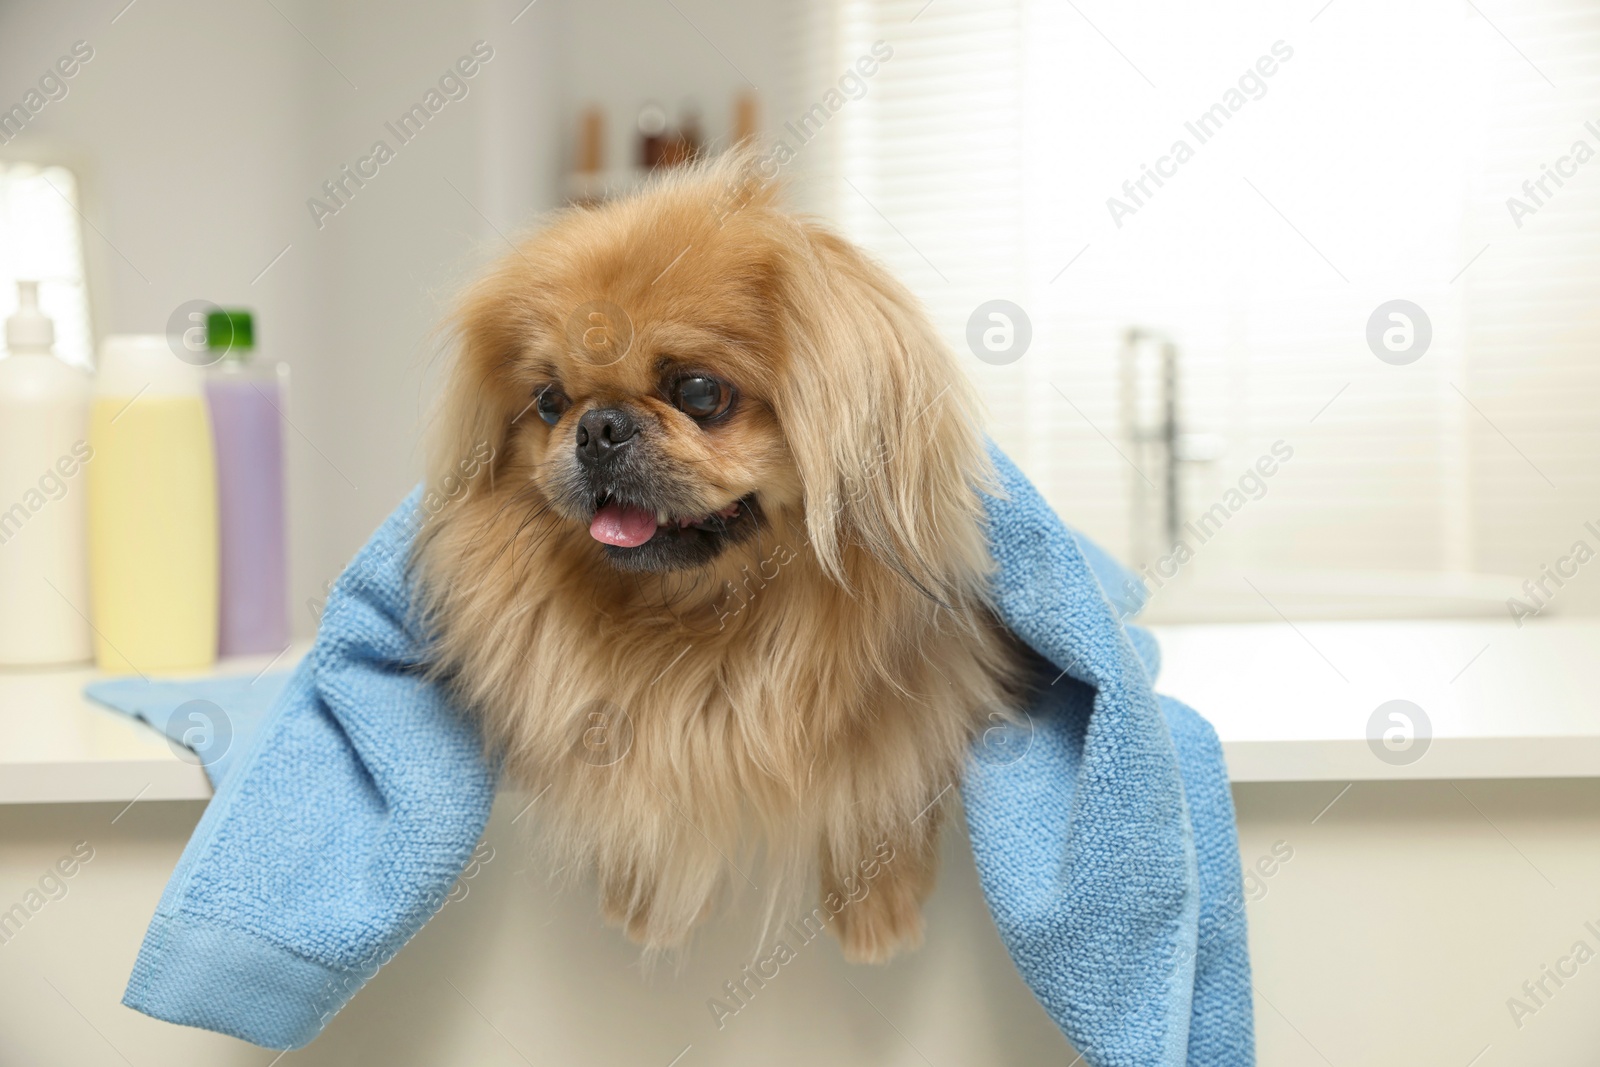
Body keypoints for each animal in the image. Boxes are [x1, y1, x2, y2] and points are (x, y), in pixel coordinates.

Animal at [406, 154, 1017, 966]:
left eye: (698, 391)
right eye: (548, 402)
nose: (598, 426)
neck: (701, 621)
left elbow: (888, 782)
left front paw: (878, 912)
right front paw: (638, 895)